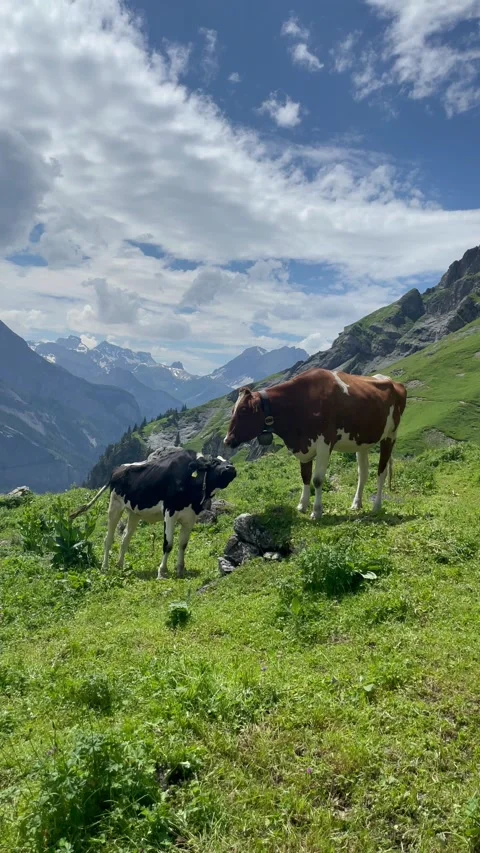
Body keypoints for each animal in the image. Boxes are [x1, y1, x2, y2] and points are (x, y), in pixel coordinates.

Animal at [70, 448, 237, 579]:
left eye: (228, 461)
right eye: (214, 462)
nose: (231, 468)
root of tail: (117, 470)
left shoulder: (190, 517)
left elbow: (183, 544)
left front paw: (180, 569)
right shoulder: (170, 512)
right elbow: (168, 544)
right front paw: (162, 571)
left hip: (134, 513)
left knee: (125, 539)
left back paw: (120, 565)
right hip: (115, 505)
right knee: (108, 539)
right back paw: (105, 567)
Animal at [224, 368, 406, 519]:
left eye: (243, 410)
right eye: (233, 410)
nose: (227, 440)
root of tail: (393, 382)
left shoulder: (324, 443)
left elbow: (317, 479)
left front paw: (317, 511)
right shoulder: (303, 446)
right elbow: (305, 476)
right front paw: (302, 505)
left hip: (390, 436)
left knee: (381, 472)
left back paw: (377, 506)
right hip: (362, 441)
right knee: (363, 473)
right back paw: (356, 504)